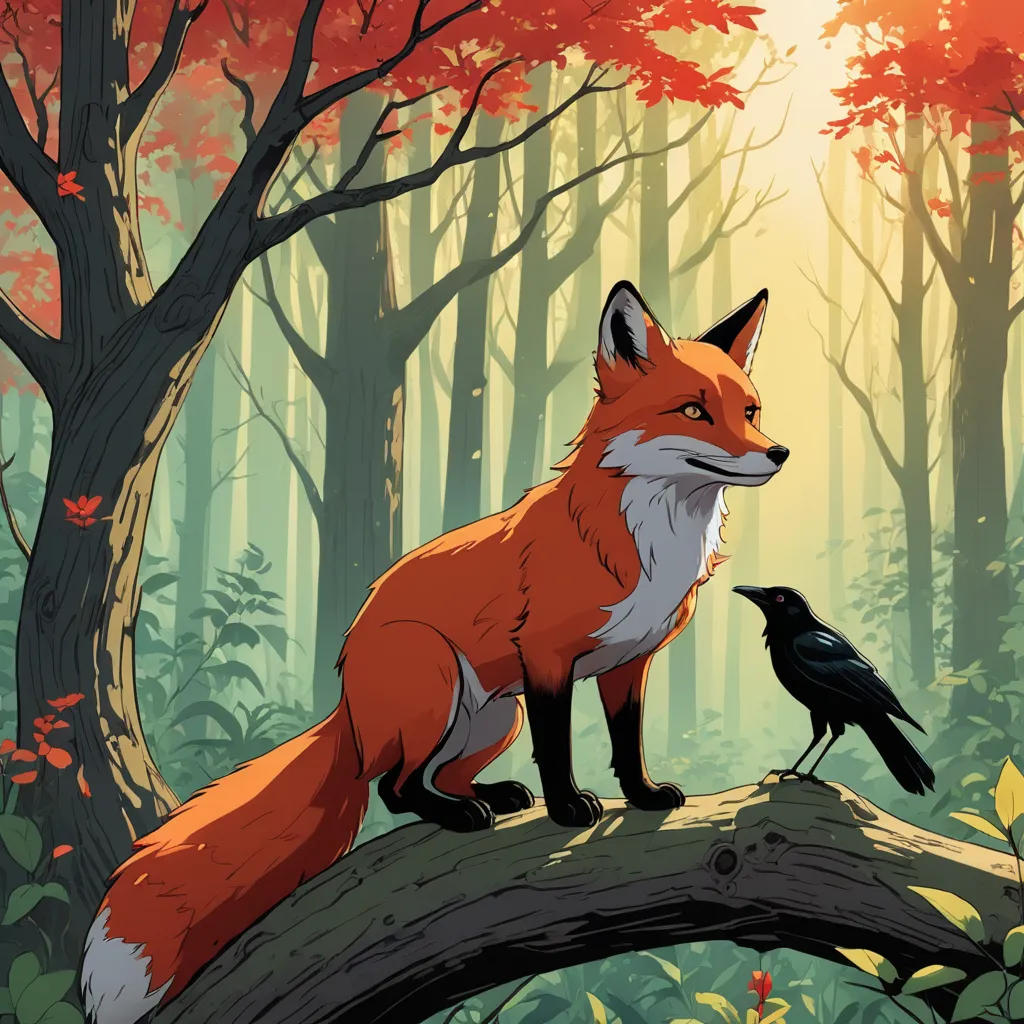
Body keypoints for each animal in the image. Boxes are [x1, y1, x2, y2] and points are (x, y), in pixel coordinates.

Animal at [81, 280, 788, 1023]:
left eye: (749, 411)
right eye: (693, 411)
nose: (779, 454)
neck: (646, 539)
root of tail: (346, 702)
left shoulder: (628, 663)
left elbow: (628, 740)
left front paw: (644, 796)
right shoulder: (546, 659)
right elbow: (558, 747)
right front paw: (567, 808)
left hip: (492, 716)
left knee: (430, 776)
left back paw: (491, 795)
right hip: (437, 680)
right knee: (394, 789)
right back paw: (461, 811)